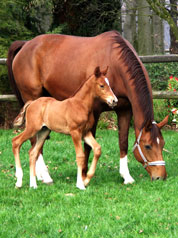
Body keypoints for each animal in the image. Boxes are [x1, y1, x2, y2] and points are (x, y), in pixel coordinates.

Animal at [7, 30, 168, 184]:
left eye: (162, 144)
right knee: (34, 142)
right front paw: (84, 176)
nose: (161, 177)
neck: (115, 64)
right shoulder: (94, 114)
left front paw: (126, 177)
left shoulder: (125, 110)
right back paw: (45, 176)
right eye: (147, 146)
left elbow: (123, 142)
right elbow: (87, 147)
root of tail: (25, 45)